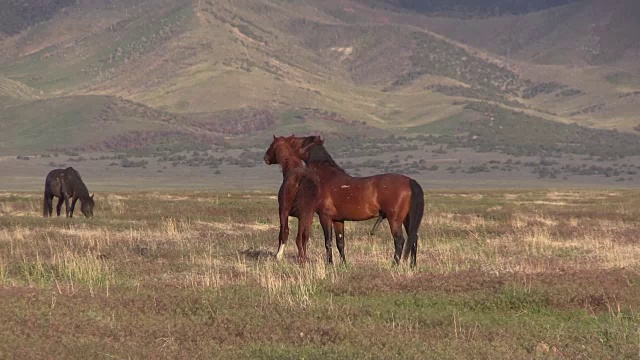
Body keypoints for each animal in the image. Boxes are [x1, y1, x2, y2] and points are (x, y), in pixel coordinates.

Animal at [284, 136, 424, 266]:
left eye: (300, 140)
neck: (326, 178)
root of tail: (410, 181)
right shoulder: (338, 220)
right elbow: (340, 242)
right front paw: (343, 264)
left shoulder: (325, 216)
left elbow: (328, 242)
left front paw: (329, 264)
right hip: (407, 219)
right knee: (413, 238)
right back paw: (412, 265)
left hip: (394, 219)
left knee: (400, 240)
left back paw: (394, 265)